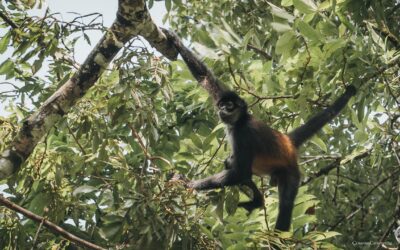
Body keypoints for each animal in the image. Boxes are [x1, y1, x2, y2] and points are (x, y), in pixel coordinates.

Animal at [162, 29, 356, 230]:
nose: (223, 110)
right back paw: (257, 202)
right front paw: (174, 38)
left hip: (291, 172)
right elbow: (205, 77)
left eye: (230, 106)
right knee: (231, 163)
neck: (239, 121)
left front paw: (187, 183)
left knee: (285, 202)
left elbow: (240, 172)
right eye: (222, 104)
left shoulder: (244, 134)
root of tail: (287, 141)